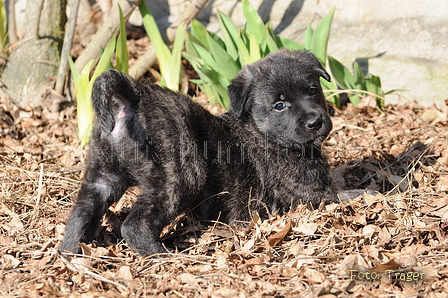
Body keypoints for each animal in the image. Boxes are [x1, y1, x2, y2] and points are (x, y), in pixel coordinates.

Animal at [61, 49, 338, 256]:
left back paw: (71, 253)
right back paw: (162, 257)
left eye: (312, 90)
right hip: (182, 176)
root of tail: (131, 97)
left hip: (104, 175)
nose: (315, 122)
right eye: (279, 105)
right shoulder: (314, 193)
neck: (258, 130)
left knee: (81, 213)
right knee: (134, 225)